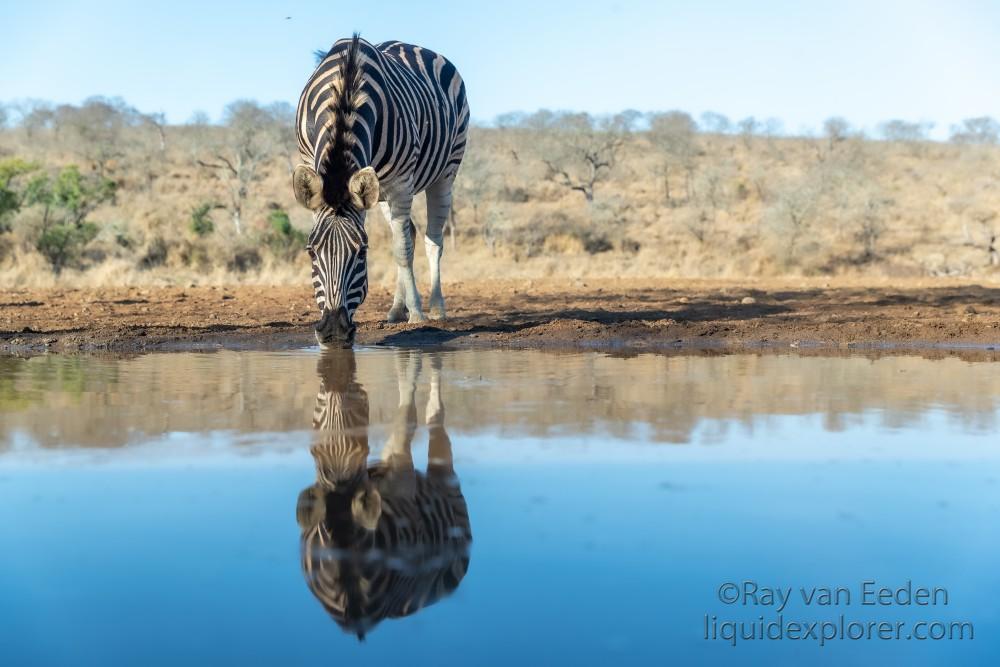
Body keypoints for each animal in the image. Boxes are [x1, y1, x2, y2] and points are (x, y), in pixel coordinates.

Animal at [292, 35, 472, 350]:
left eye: (362, 252)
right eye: (311, 252)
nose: (334, 332)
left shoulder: (401, 182)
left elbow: (401, 251)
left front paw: (417, 314)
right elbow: (401, 244)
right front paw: (406, 309)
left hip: (445, 172)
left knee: (431, 240)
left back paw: (435, 307)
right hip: (384, 192)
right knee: (409, 233)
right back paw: (397, 309)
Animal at [296, 348, 472, 640]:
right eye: (315, 451)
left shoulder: (400, 472)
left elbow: (407, 415)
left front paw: (412, 366)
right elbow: (406, 414)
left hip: (447, 486)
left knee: (434, 416)